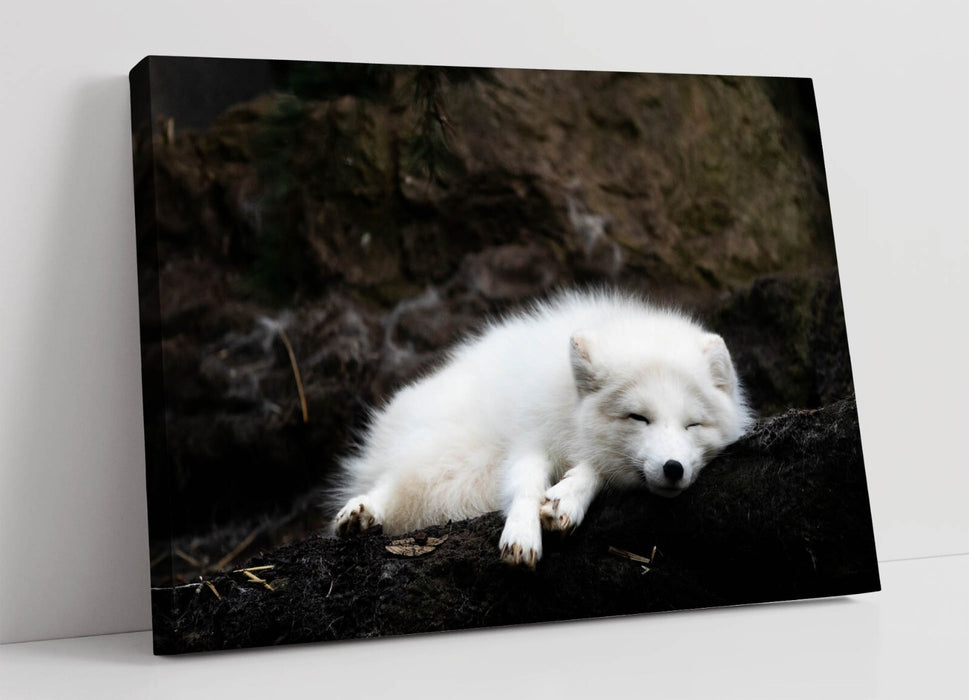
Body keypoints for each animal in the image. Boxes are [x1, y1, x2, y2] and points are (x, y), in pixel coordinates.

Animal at [332, 290, 753, 567]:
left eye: (693, 424)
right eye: (638, 418)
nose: (673, 468)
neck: (569, 406)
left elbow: (593, 470)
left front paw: (566, 499)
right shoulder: (530, 436)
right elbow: (525, 484)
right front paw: (522, 533)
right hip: (448, 450)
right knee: (397, 479)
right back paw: (362, 512)